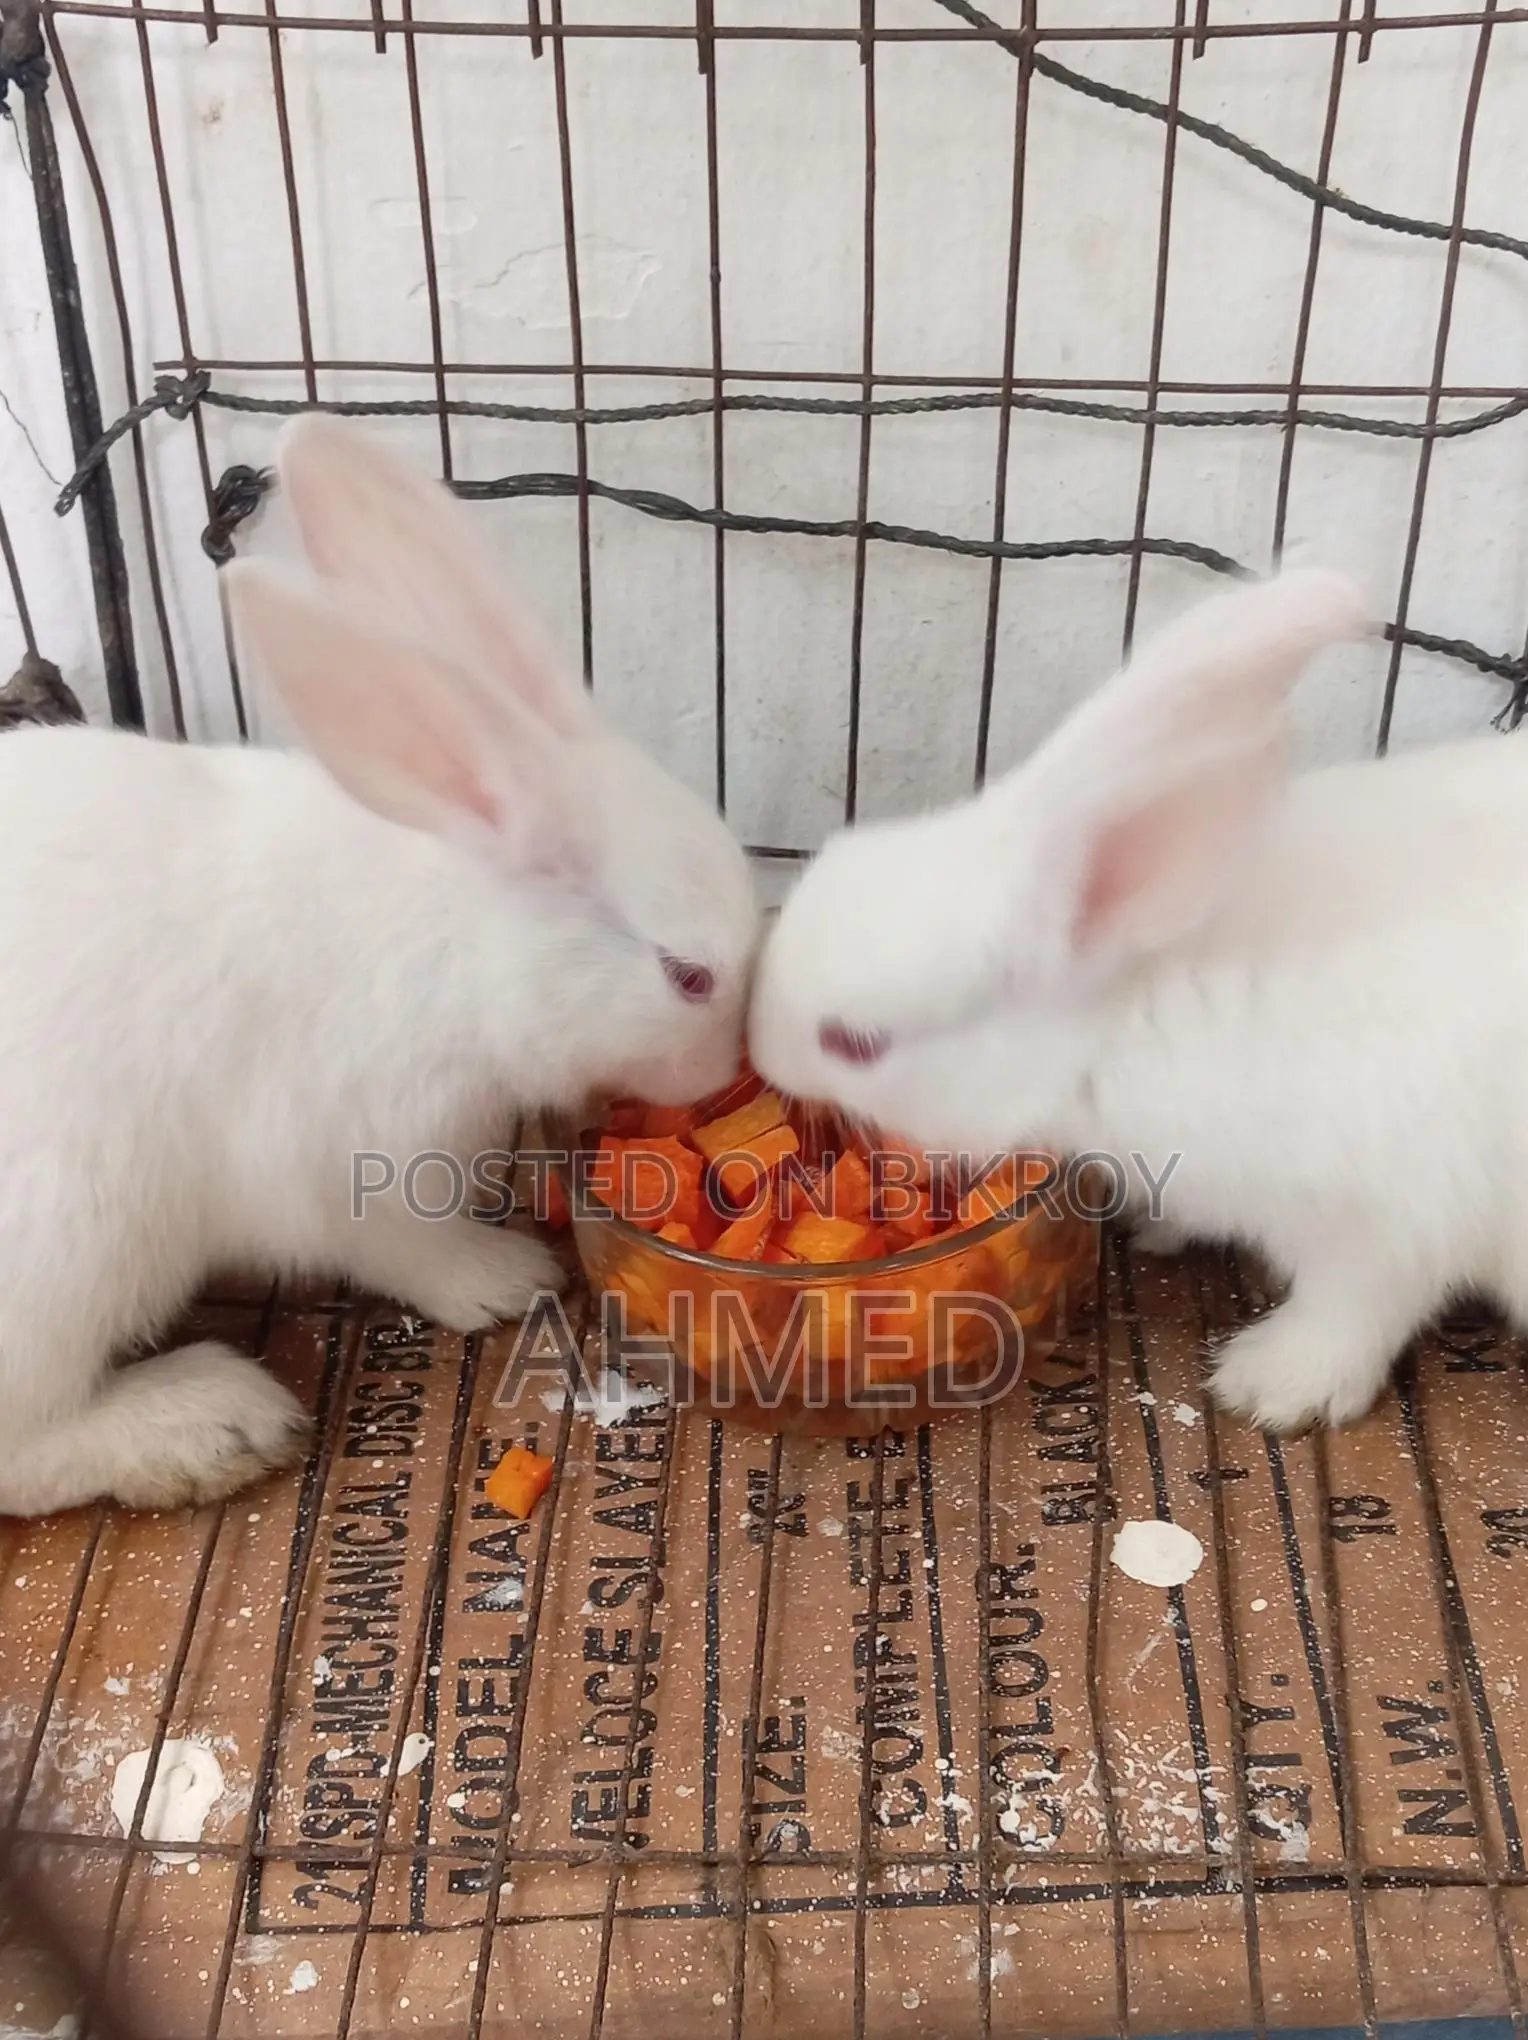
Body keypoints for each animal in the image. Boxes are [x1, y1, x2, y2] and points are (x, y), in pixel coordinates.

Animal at [0, 415, 757, 1517]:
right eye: (688, 977)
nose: (731, 1071)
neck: (467, 944)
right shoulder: (351, 1155)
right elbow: (408, 1249)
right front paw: (507, 1276)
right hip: (71, 1242)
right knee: (25, 1441)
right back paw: (209, 1423)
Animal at [746, 563, 1528, 1436]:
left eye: (854, 1043)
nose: (757, 1047)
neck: (1131, 1011)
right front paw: (1157, 1228)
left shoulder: (1387, 1217)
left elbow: (1356, 1307)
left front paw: (1269, 1386)